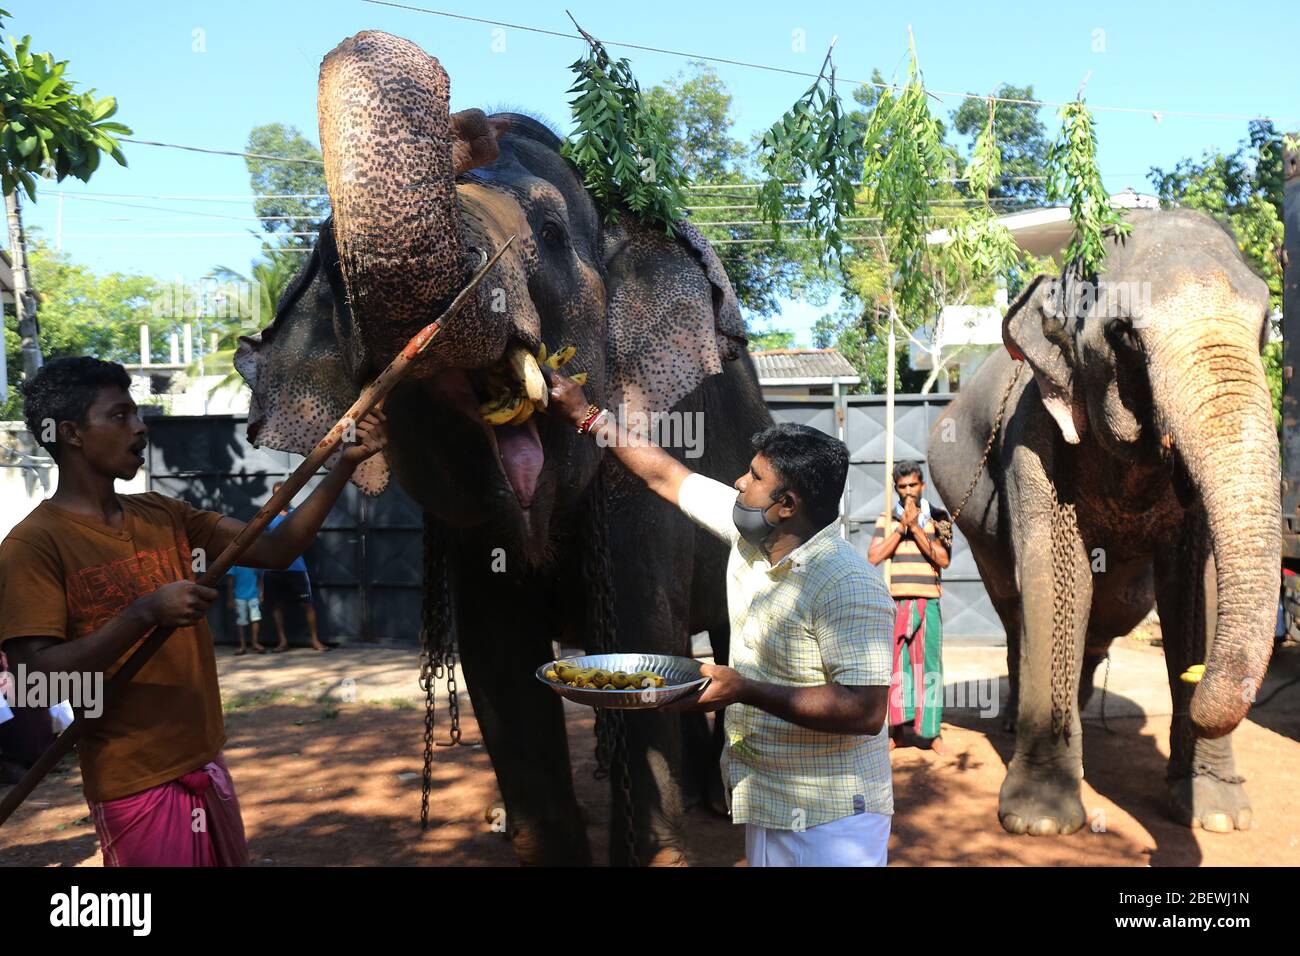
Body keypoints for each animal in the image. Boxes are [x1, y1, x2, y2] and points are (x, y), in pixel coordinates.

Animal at [234, 31, 773, 865]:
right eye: (332, 266)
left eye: (550, 236)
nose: (466, 121)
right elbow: (499, 662)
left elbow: (641, 637)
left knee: (713, 636)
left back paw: (712, 804)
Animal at [927, 206, 1278, 836]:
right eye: (1126, 334)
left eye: (1264, 324)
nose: (1197, 683)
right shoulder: (1033, 436)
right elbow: (1055, 575)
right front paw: (1040, 820)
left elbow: (1195, 586)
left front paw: (1214, 814)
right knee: (1012, 601)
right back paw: (1015, 722)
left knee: (1113, 608)